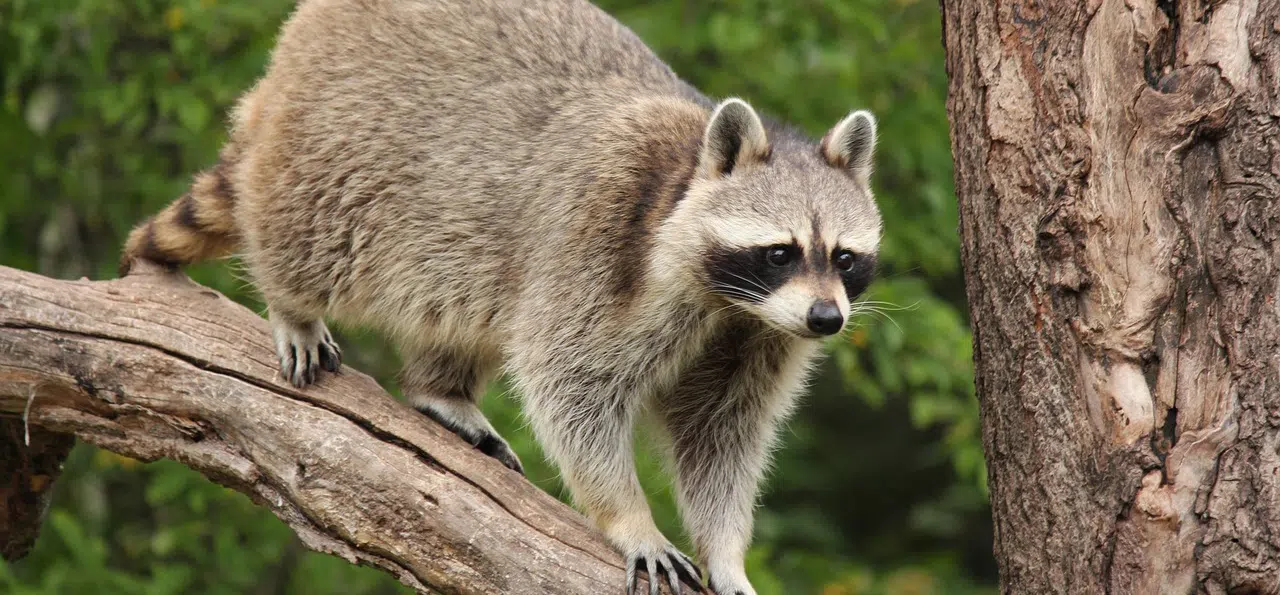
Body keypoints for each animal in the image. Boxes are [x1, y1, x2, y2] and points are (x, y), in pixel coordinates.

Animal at [120, 0, 881, 593]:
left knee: (467, 305)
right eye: (781, 251)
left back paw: (441, 386)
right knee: (311, 235)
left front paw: (726, 552)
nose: (827, 319)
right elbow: (572, 385)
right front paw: (629, 517)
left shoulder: (759, 334)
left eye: (844, 258)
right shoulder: (595, 243)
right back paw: (294, 302)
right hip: (342, 145)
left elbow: (722, 434)